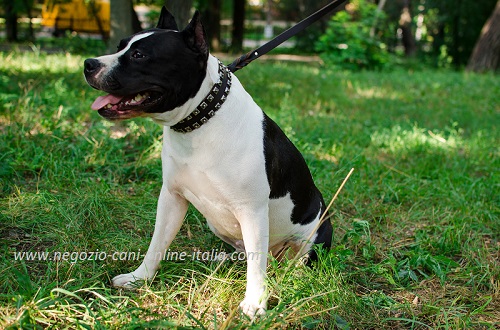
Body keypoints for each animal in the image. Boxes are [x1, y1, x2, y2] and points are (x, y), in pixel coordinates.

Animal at [83, 7, 330, 318]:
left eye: (139, 55)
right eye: (120, 46)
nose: (88, 64)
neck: (198, 121)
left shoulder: (252, 211)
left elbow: (256, 266)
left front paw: (255, 303)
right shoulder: (171, 198)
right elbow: (157, 243)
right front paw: (139, 278)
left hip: (315, 230)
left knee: (290, 259)